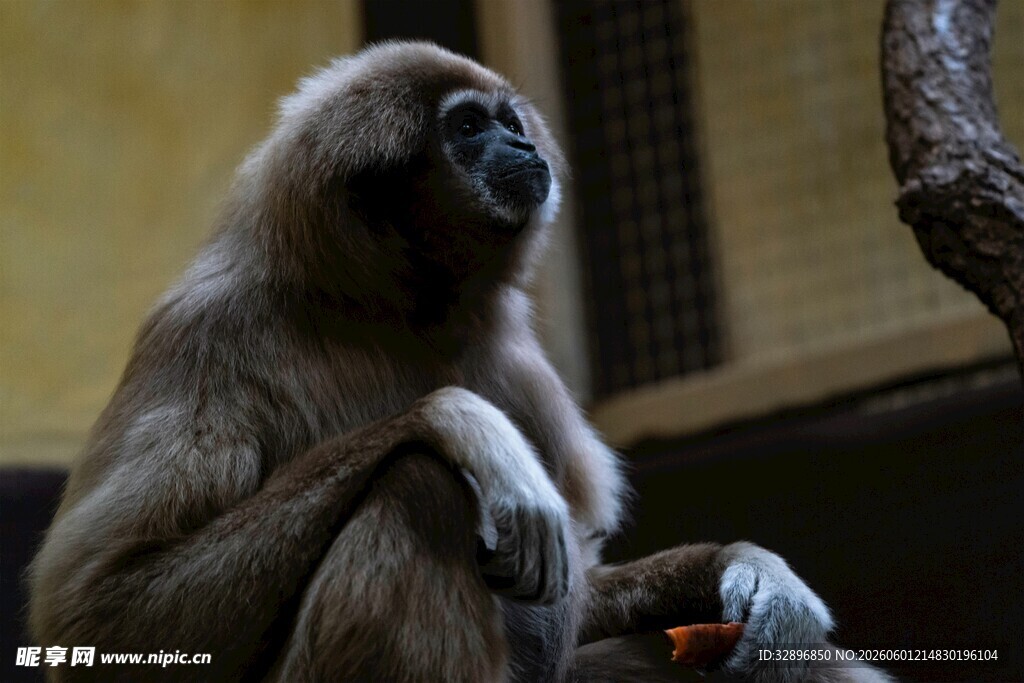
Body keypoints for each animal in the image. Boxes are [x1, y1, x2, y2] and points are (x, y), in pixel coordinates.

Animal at [28, 42, 891, 683]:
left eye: (506, 120)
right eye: (470, 127)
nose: (521, 141)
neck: (391, 311)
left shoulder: (516, 360)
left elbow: (579, 574)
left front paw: (747, 566)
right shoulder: (202, 331)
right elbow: (106, 611)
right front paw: (467, 423)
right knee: (418, 483)